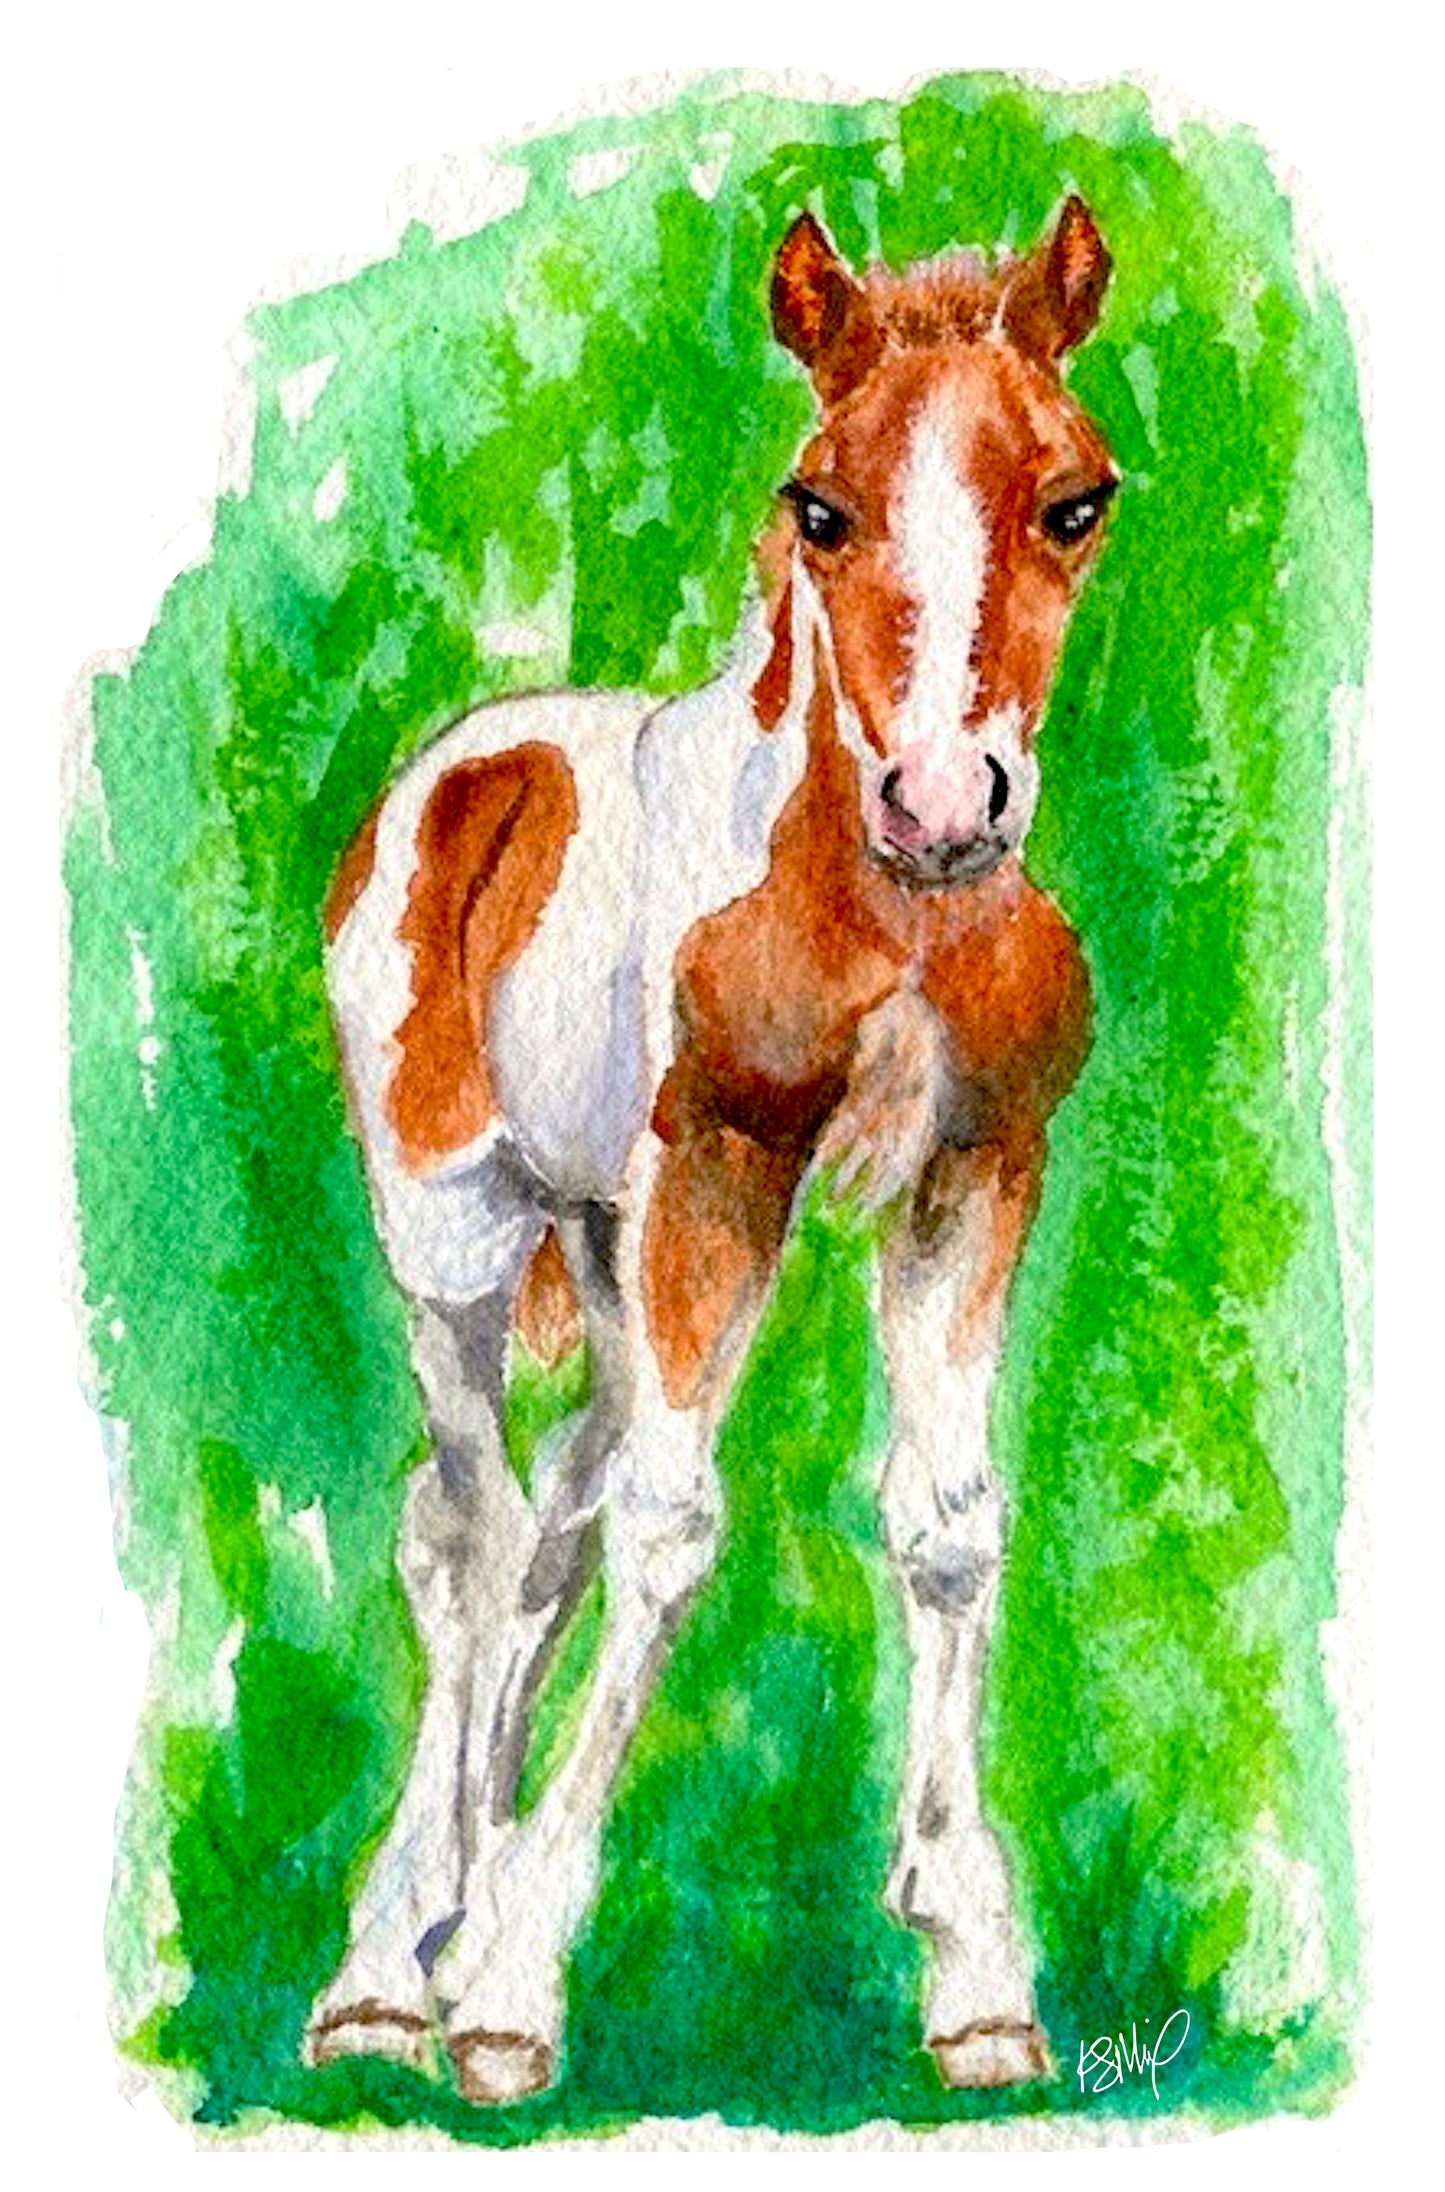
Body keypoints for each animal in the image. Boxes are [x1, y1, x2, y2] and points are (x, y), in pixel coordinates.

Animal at [308, 195, 1118, 2104]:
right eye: (820, 507)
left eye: (1076, 499)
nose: (946, 805)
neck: (886, 914)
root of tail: (465, 763)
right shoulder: (719, 1176)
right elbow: (674, 1536)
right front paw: (515, 1983)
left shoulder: (973, 1180)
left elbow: (947, 1524)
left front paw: (975, 1974)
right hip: (463, 1239)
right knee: (465, 1532)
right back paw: (393, 1961)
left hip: (607, 1258)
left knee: (551, 1524)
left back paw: (449, 1908)